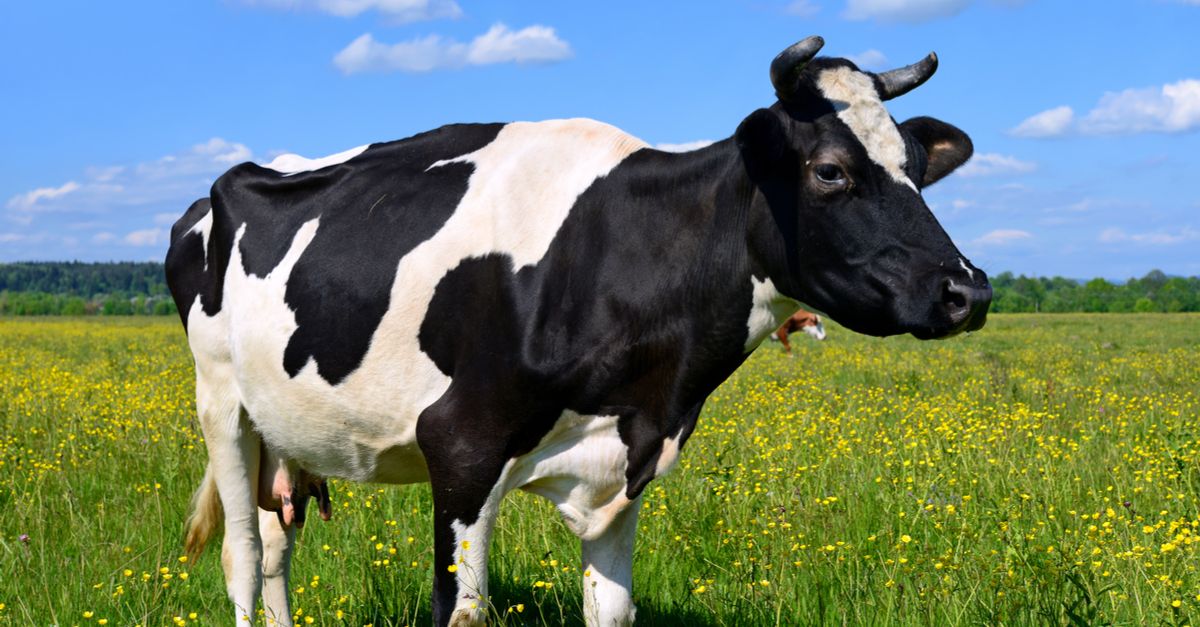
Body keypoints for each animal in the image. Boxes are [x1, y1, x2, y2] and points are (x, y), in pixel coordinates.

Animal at [166, 35, 990, 627]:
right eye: (829, 171)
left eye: (918, 165)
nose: (968, 289)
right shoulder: (459, 448)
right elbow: (461, 611)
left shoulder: (622, 468)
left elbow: (613, 610)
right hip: (222, 405)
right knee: (243, 555)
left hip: (285, 431)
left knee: (276, 544)